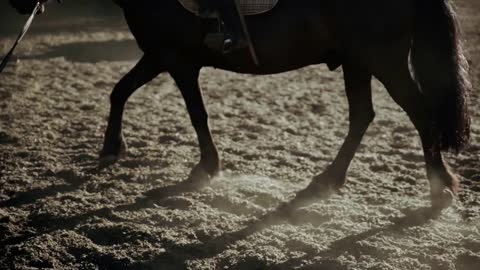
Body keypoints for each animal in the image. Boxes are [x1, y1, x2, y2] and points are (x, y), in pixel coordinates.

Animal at [9, 0, 470, 210]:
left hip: (381, 59)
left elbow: (196, 114)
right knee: (363, 116)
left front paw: (206, 167)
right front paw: (110, 148)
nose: (18, 5)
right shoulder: (158, 55)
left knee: (419, 112)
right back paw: (327, 180)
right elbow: (119, 91)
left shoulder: (176, 60)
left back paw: (440, 186)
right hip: (358, 61)